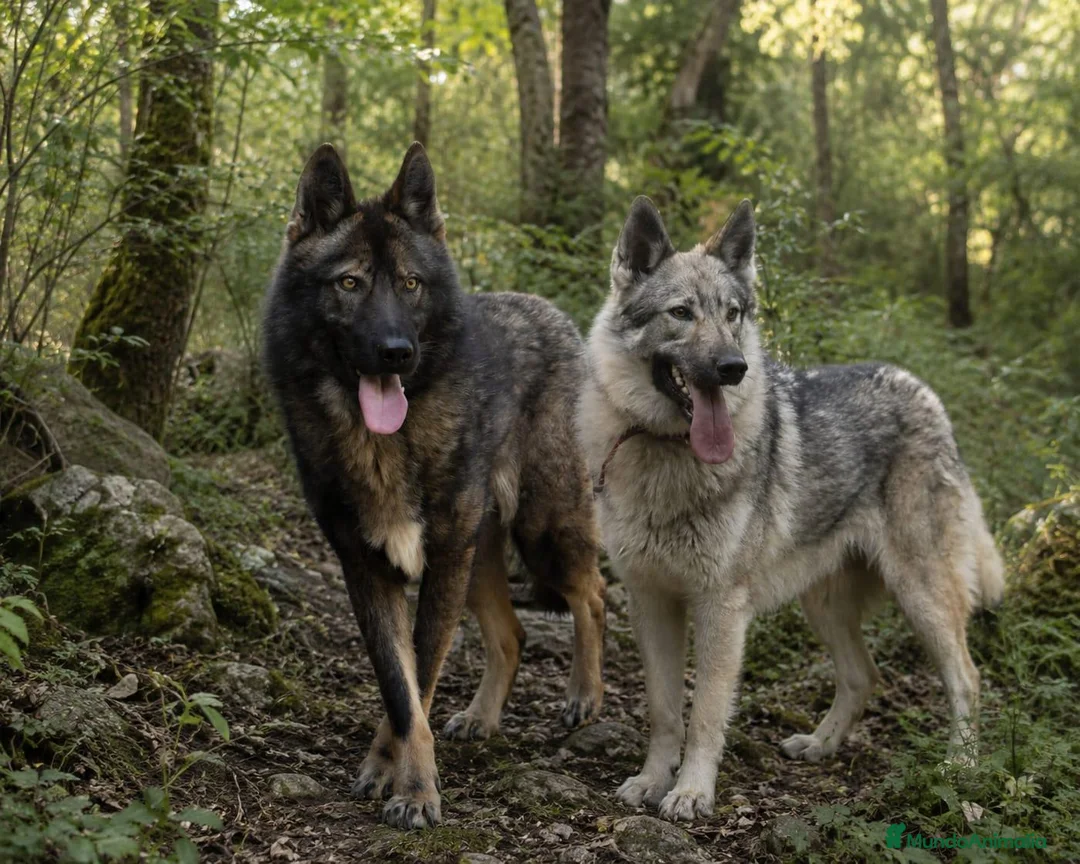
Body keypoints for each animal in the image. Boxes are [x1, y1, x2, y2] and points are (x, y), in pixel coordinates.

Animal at [262, 143, 605, 829]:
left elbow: (419, 674)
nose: (397, 351)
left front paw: (414, 790)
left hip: (541, 530)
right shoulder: (367, 568)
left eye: (411, 284)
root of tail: (555, 312)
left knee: (595, 595)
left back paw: (585, 694)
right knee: (514, 634)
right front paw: (389, 768)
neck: (384, 444)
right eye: (350, 282)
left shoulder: (442, 560)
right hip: (479, 559)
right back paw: (480, 717)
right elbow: (400, 688)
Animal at [578, 196, 1004, 823]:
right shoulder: (649, 601)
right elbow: (663, 710)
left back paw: (961, 769)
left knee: (967, 679)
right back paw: (820, 745)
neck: (665, 453)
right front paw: (652, 781)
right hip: (823, 604)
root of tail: (923, 389)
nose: (733, 368)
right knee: (863, 676)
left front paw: (691, 792)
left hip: (921, 595)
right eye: (681, 313)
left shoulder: (721, 609)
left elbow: (705, 714)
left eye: (733, 314)